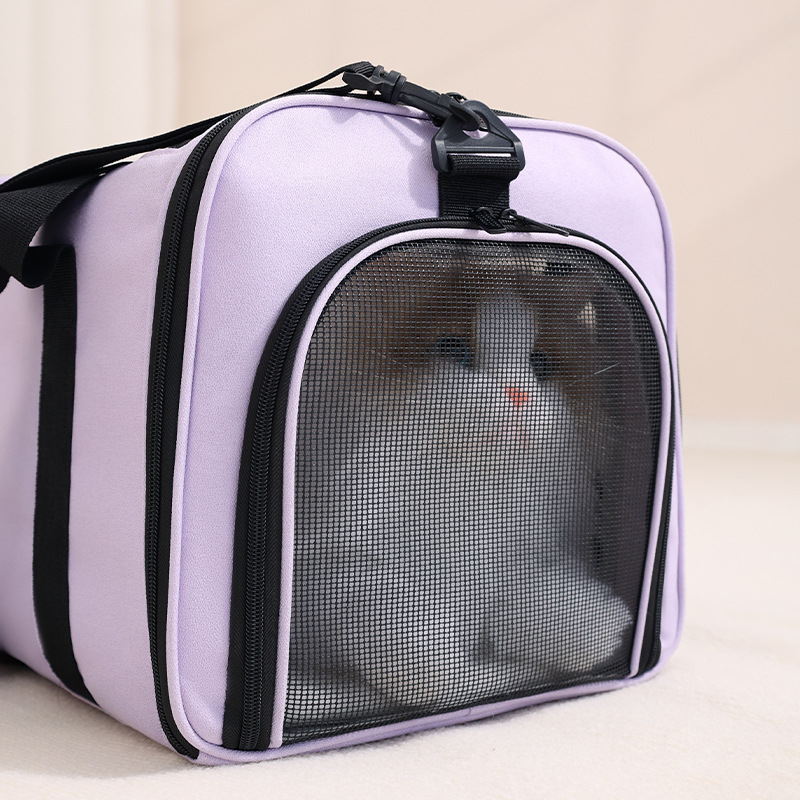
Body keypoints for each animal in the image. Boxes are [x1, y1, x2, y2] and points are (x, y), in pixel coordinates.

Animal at [288, 246, 634, 727]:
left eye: (540, 364)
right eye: (455, 350)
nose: (517, 394)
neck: (466, 496)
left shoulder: (510, 567)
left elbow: (535, 611)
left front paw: (608, 624)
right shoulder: (348, 585)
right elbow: (423, 672)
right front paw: (476, 681)